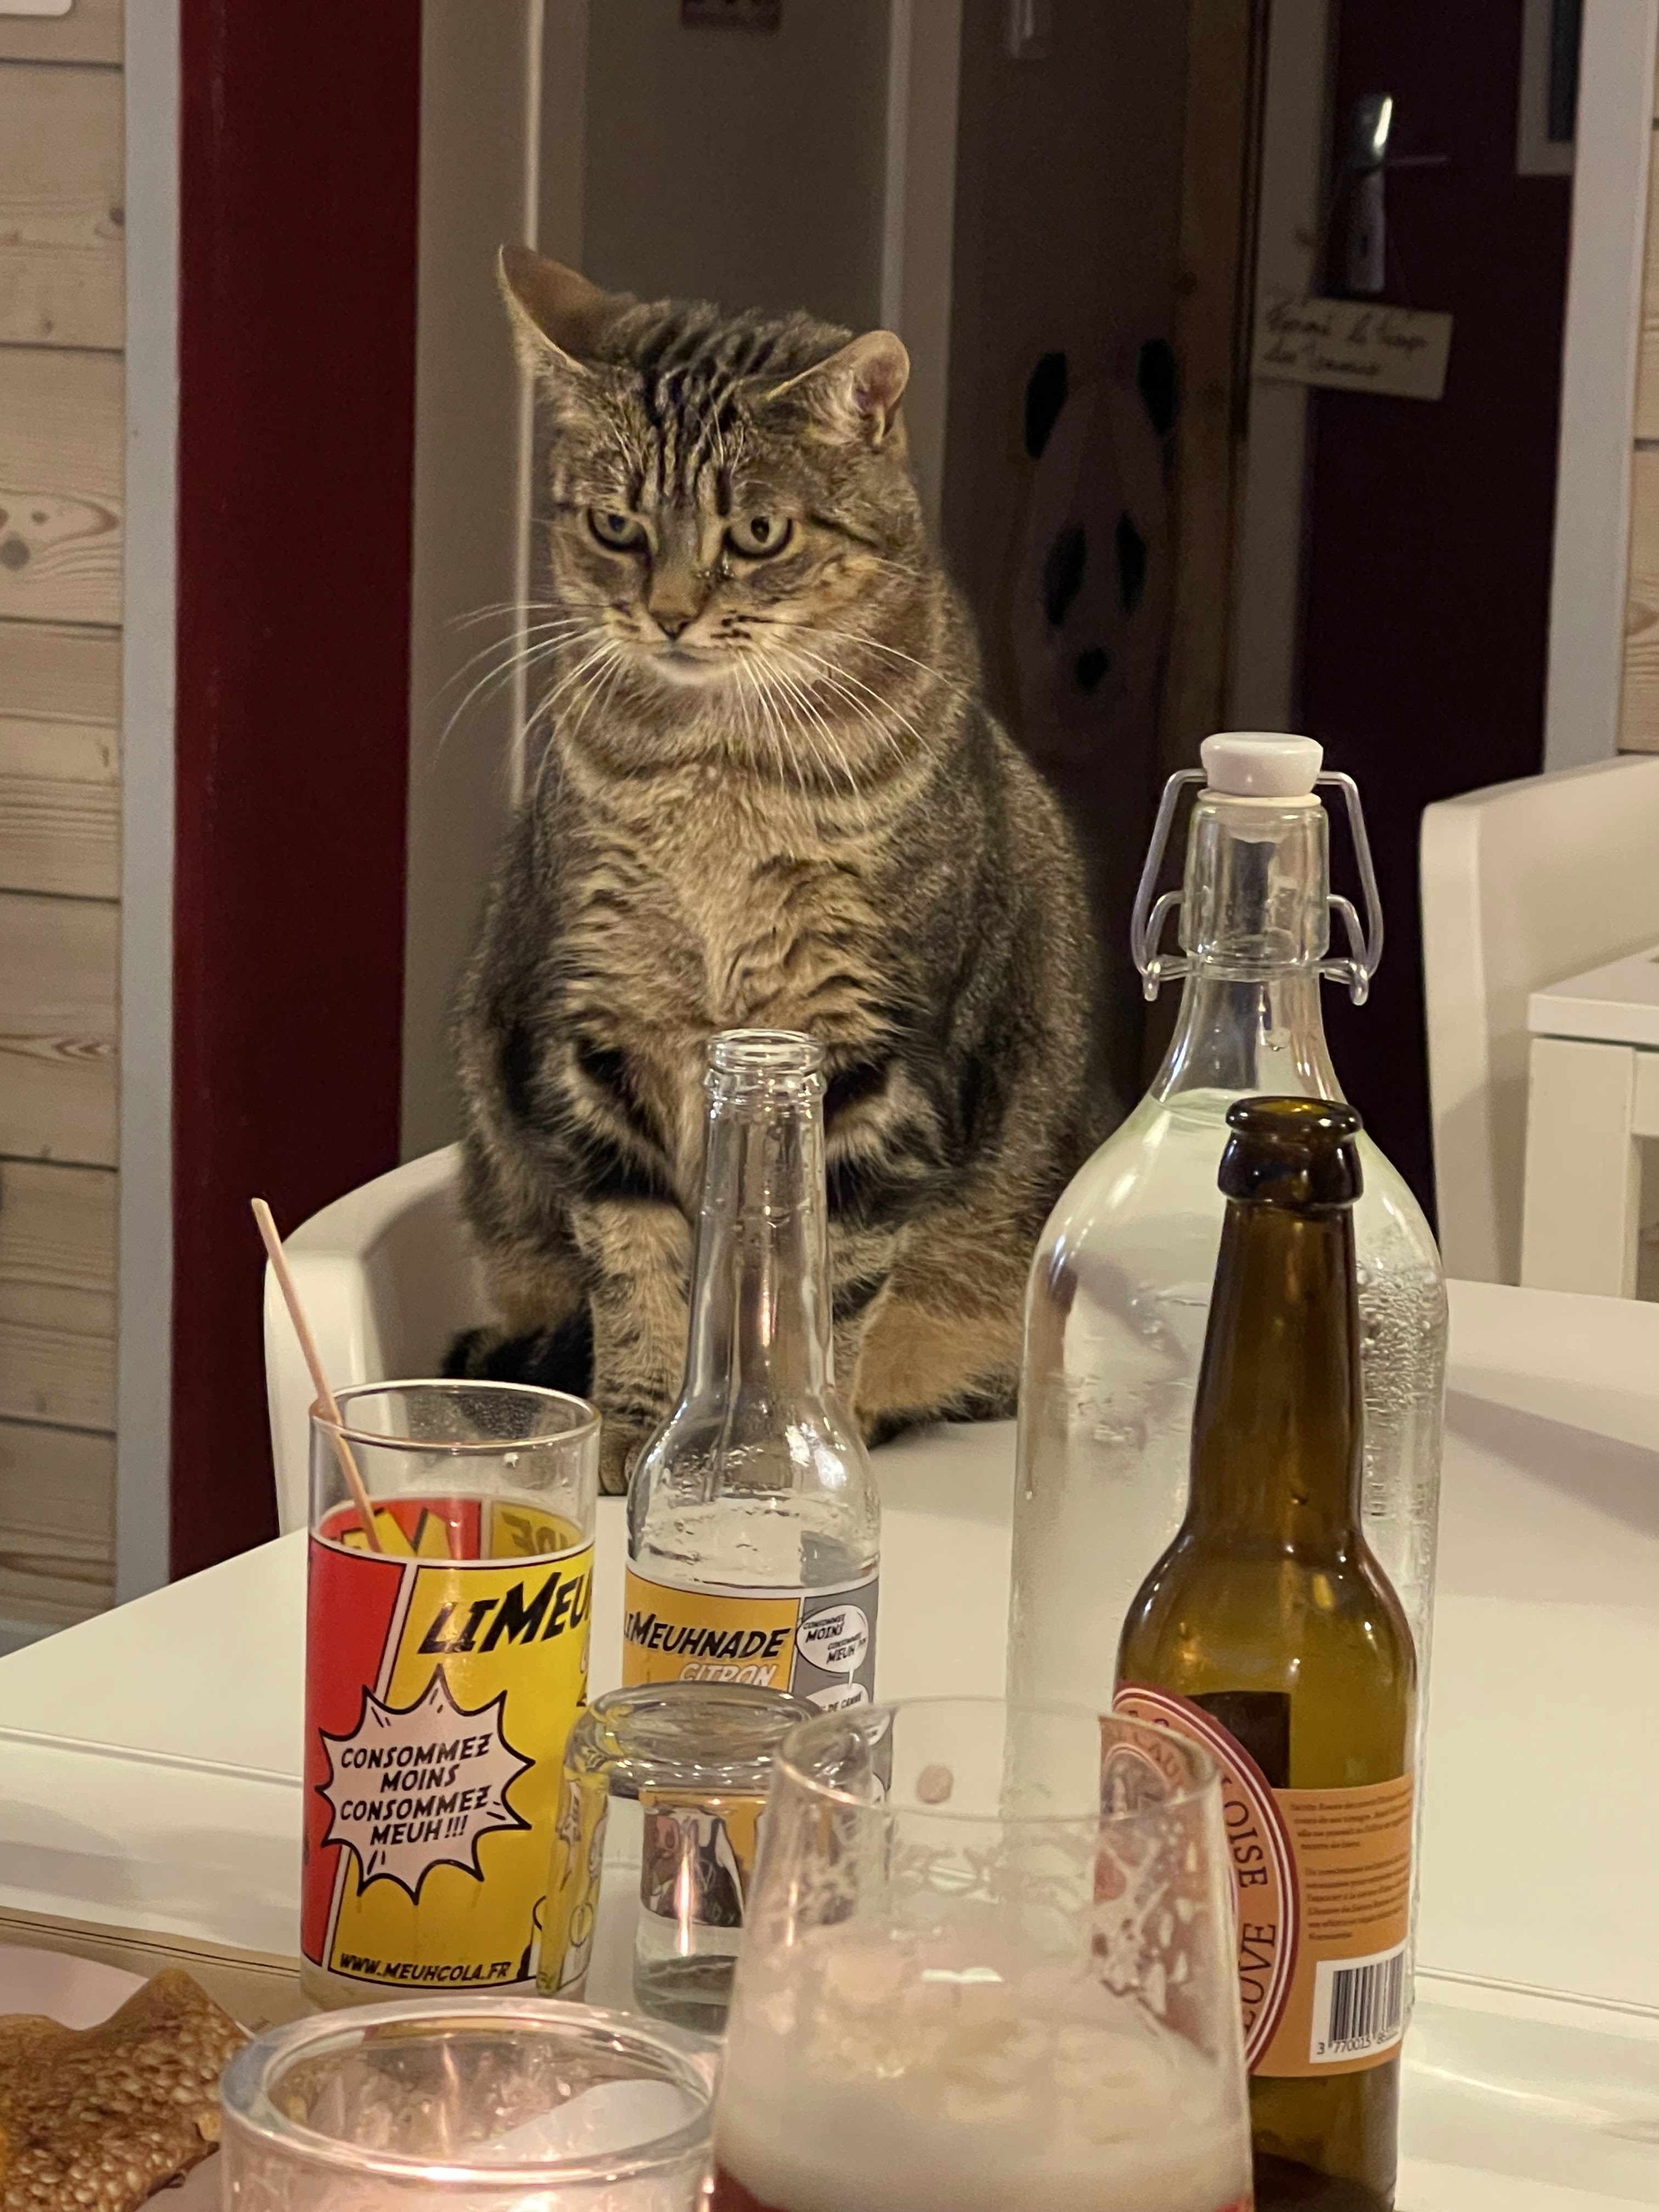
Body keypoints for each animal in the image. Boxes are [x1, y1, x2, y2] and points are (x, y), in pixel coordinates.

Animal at [450, 248, 1112, 1489]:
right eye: (614, 524)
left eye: (756, 532)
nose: (667, 613)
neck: (716, 773)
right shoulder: (605, 1040)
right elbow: (640, 1273)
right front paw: (636, 1433)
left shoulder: (871, 1066)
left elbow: (821, 1291)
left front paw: (780, 1445)